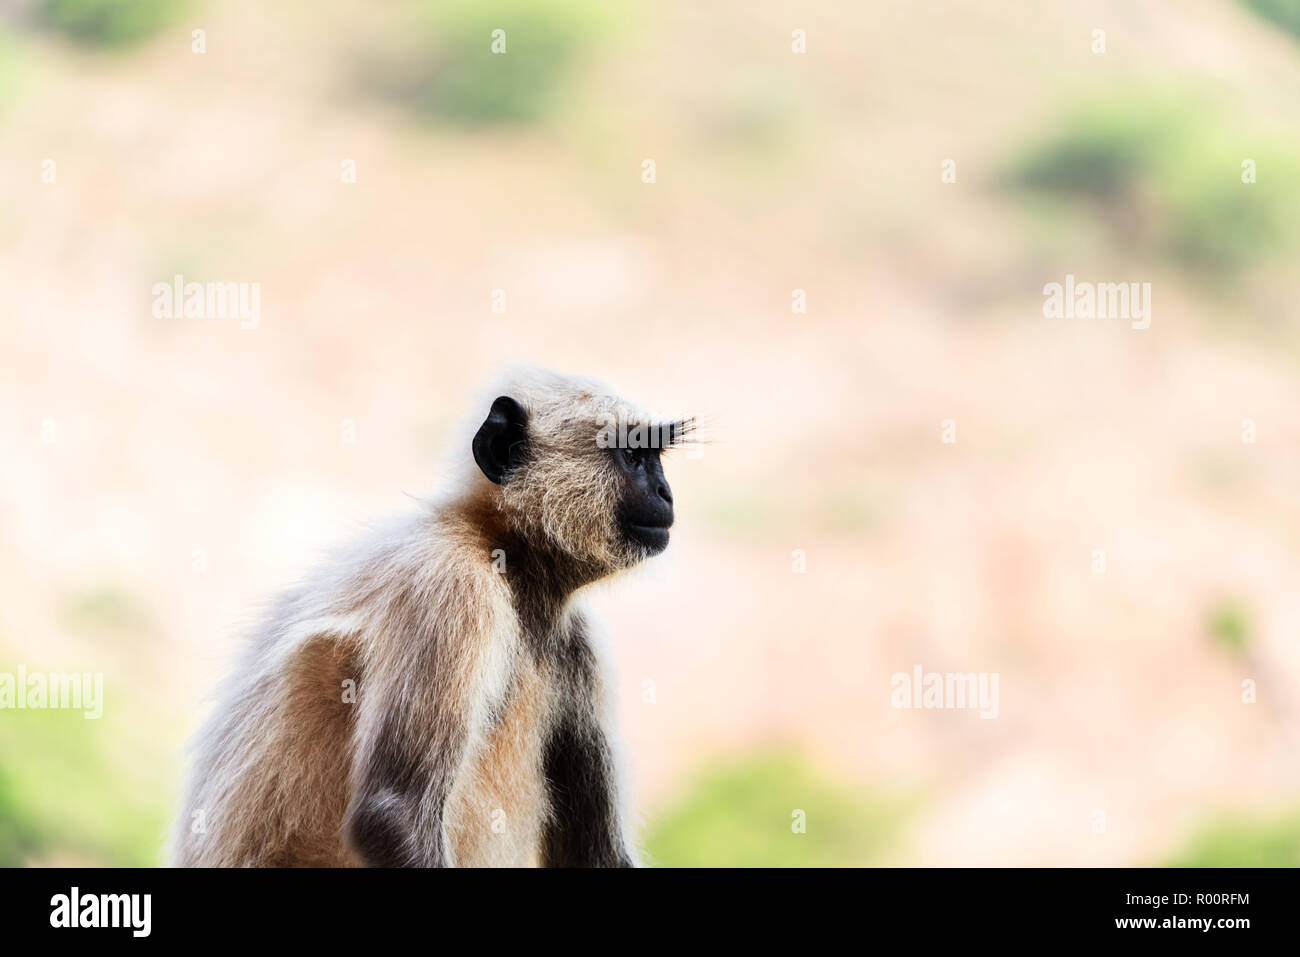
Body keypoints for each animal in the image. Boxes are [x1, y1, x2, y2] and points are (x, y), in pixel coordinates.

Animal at [172, 366, 691, 868]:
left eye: (655, 458)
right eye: (632, 456)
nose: (665, 492)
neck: (500, 553)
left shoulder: (577, 637)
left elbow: (593, 853)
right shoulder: (451, 586)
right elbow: (393, 814)